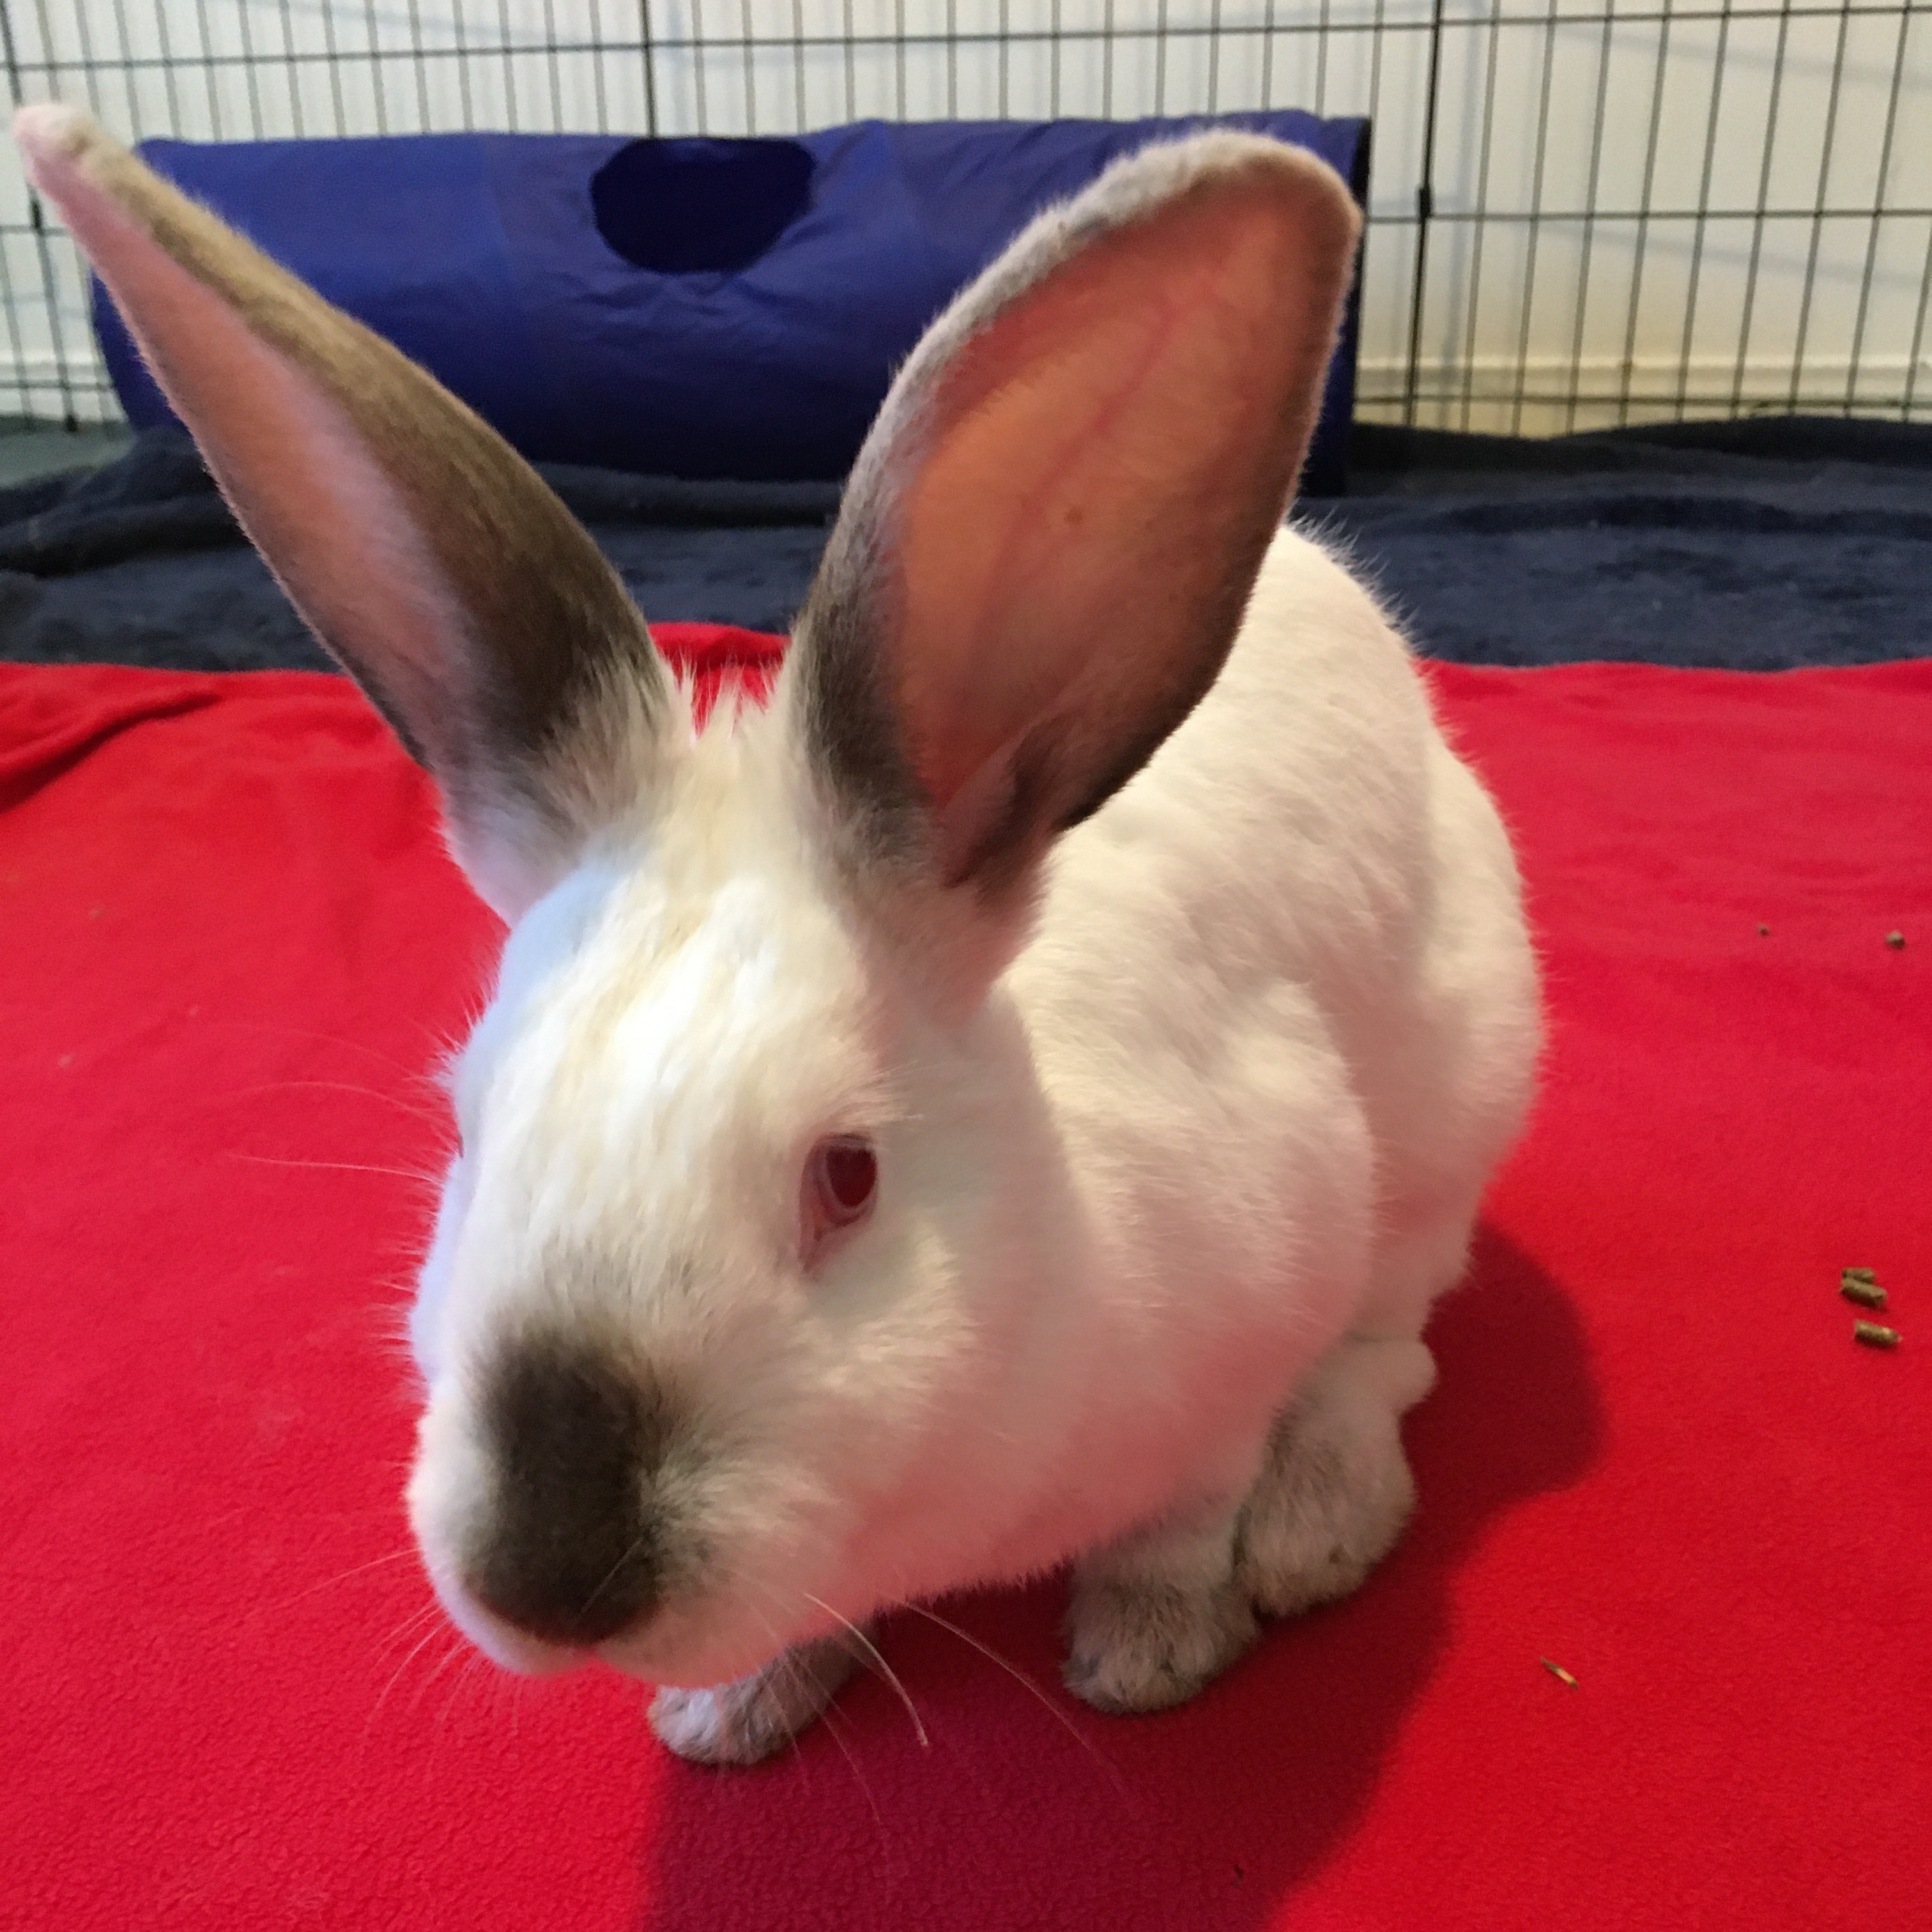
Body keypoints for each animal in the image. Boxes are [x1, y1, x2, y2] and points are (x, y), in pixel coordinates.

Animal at [19, 103, 1540, 1767]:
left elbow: (1178, 1522)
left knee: (1392, 1347)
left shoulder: (1242, 1315)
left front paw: (1149, 1652)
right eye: (471, 1134)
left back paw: (1317, 1527)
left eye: (846, 1177)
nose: (549, 1576)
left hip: (1451, 1107)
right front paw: (726, 1711)